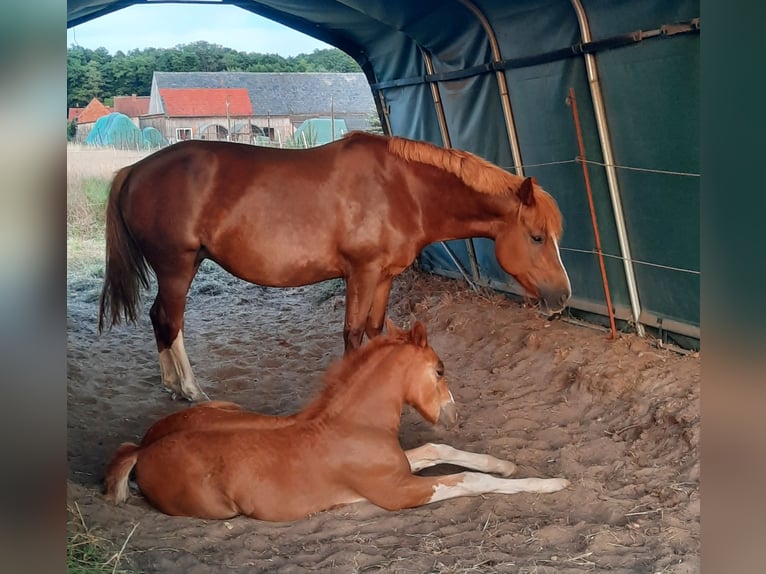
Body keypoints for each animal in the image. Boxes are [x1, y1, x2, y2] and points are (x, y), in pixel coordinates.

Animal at [98, 131, 571, 401]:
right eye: (536, 236)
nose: (563, 296)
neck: (403, 188)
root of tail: (133, 170)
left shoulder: (384, 277)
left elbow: (376, 332)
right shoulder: (361, 273)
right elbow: (353, 334)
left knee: (158, 317)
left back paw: (171, 385)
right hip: (177, 268)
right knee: (170, 320)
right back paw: (191, 390)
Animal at [104, 319, 570, 521]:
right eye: (439, 370)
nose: (455, 414)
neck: (354, 426)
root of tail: (142, 448)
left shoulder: (400, 467)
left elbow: (439, 448)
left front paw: (506, 463)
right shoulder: (399, 492)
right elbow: (470, 481)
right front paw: (551, 483)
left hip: (225, 407)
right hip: (218, 510)